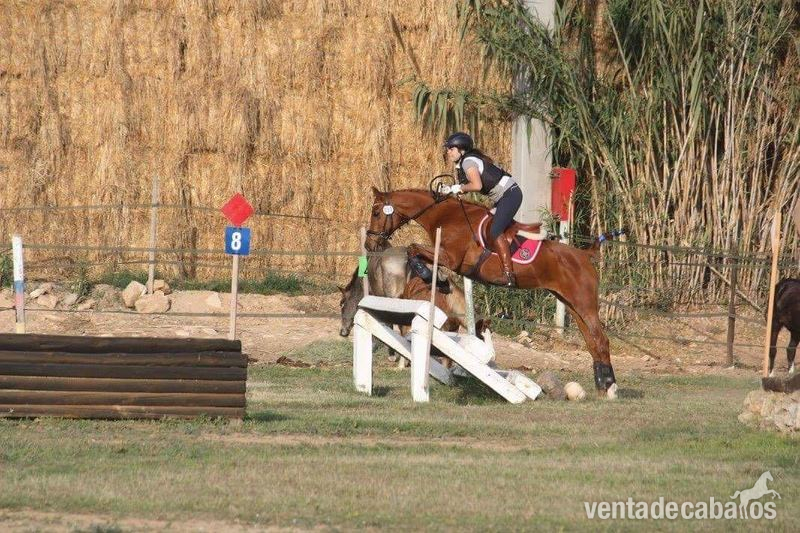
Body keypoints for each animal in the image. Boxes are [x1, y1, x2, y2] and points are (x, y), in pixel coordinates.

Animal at [365, 187, 619, 398]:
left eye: (376, 212)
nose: (369, 245)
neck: (447, 216)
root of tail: (584, 255)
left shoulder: (452, 258)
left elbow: (413, 248)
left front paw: (431, 277)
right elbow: (413, 251)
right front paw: (436, 280)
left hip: (584, 303)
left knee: (601, 340)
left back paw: (611, 387)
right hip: (572, 304)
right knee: (592, 343)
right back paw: (601, 386)